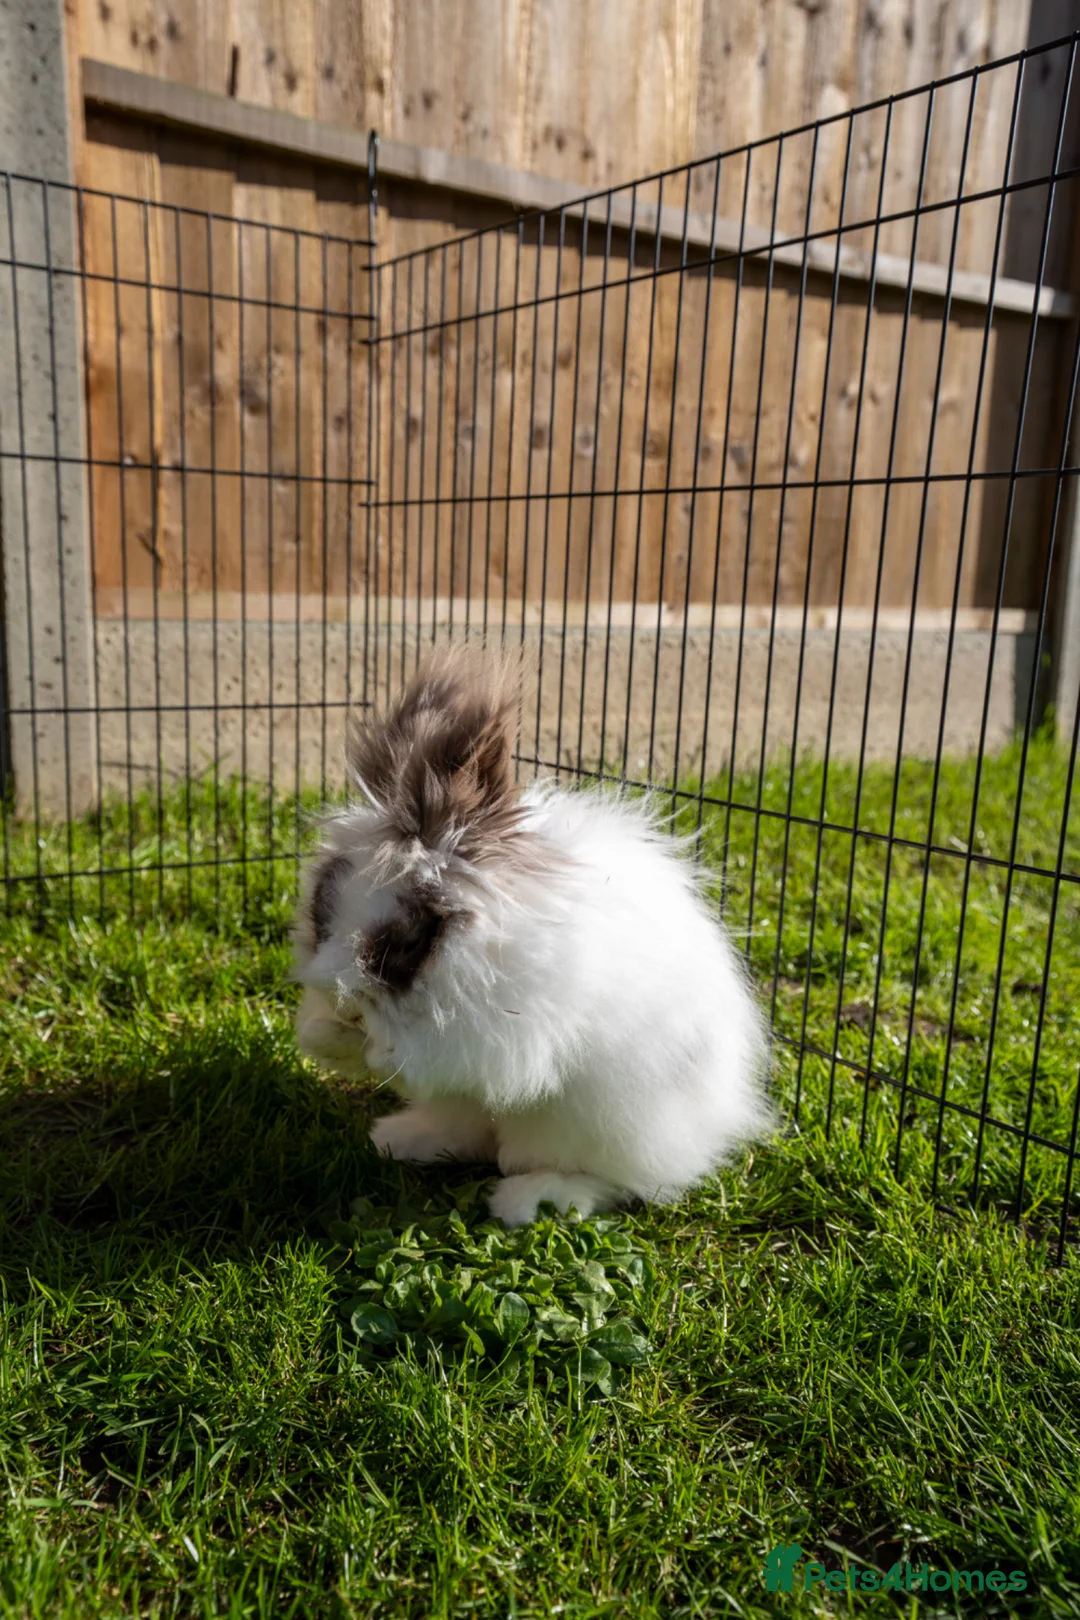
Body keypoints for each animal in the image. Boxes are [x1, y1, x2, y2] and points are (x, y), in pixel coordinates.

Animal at [292, 644, 772, 1226]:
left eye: (406, 942)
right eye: (324, 906)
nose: (343, 1000)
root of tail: (720, 1115)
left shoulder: (501, 1037)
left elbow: (427, 1055)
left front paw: (378, 1050)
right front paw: (328, 1036)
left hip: (603, 1126)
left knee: (612, 1179)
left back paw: (531, 1199)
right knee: (470, 1130)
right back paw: (401, 1139)